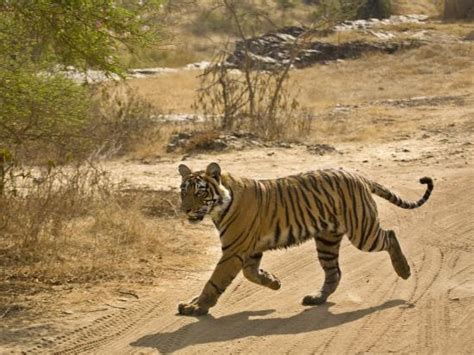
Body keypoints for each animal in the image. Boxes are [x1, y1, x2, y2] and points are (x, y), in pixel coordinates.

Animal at [177, 163, 434, 316]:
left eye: (199, 192)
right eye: (183, 191)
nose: (185, 210)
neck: (218, 208)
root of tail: (359, 176)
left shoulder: (234, 250)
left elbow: (214, 281)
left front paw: (196, 306)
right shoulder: (250, 250)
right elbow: (251, 274)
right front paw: (274, 281)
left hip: (363, 232)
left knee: (390, 236)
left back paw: (404, 270)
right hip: (327, 241)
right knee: (334, 272)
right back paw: (317, 298)